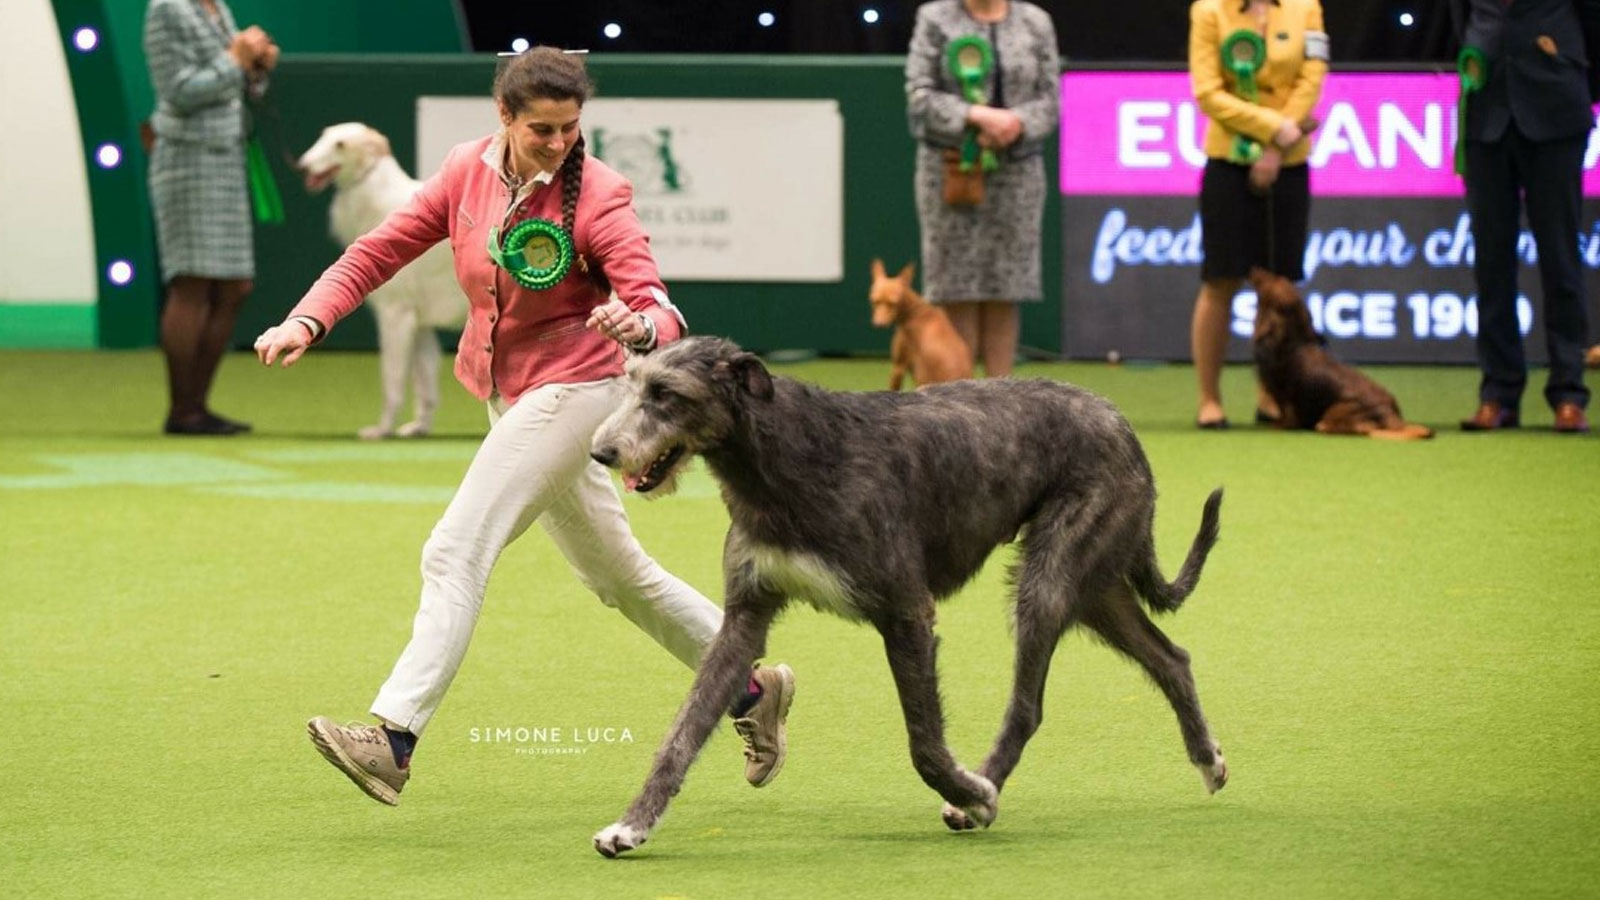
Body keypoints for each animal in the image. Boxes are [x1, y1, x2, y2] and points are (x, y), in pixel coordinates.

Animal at [1254, 262, 1433, 438]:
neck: (1295, 343)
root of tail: (1390, 413)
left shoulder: (1285, 401)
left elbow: (1285, 417)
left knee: (1361, 428)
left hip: (1335, 411)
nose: (1255, 269)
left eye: (1273, 280)